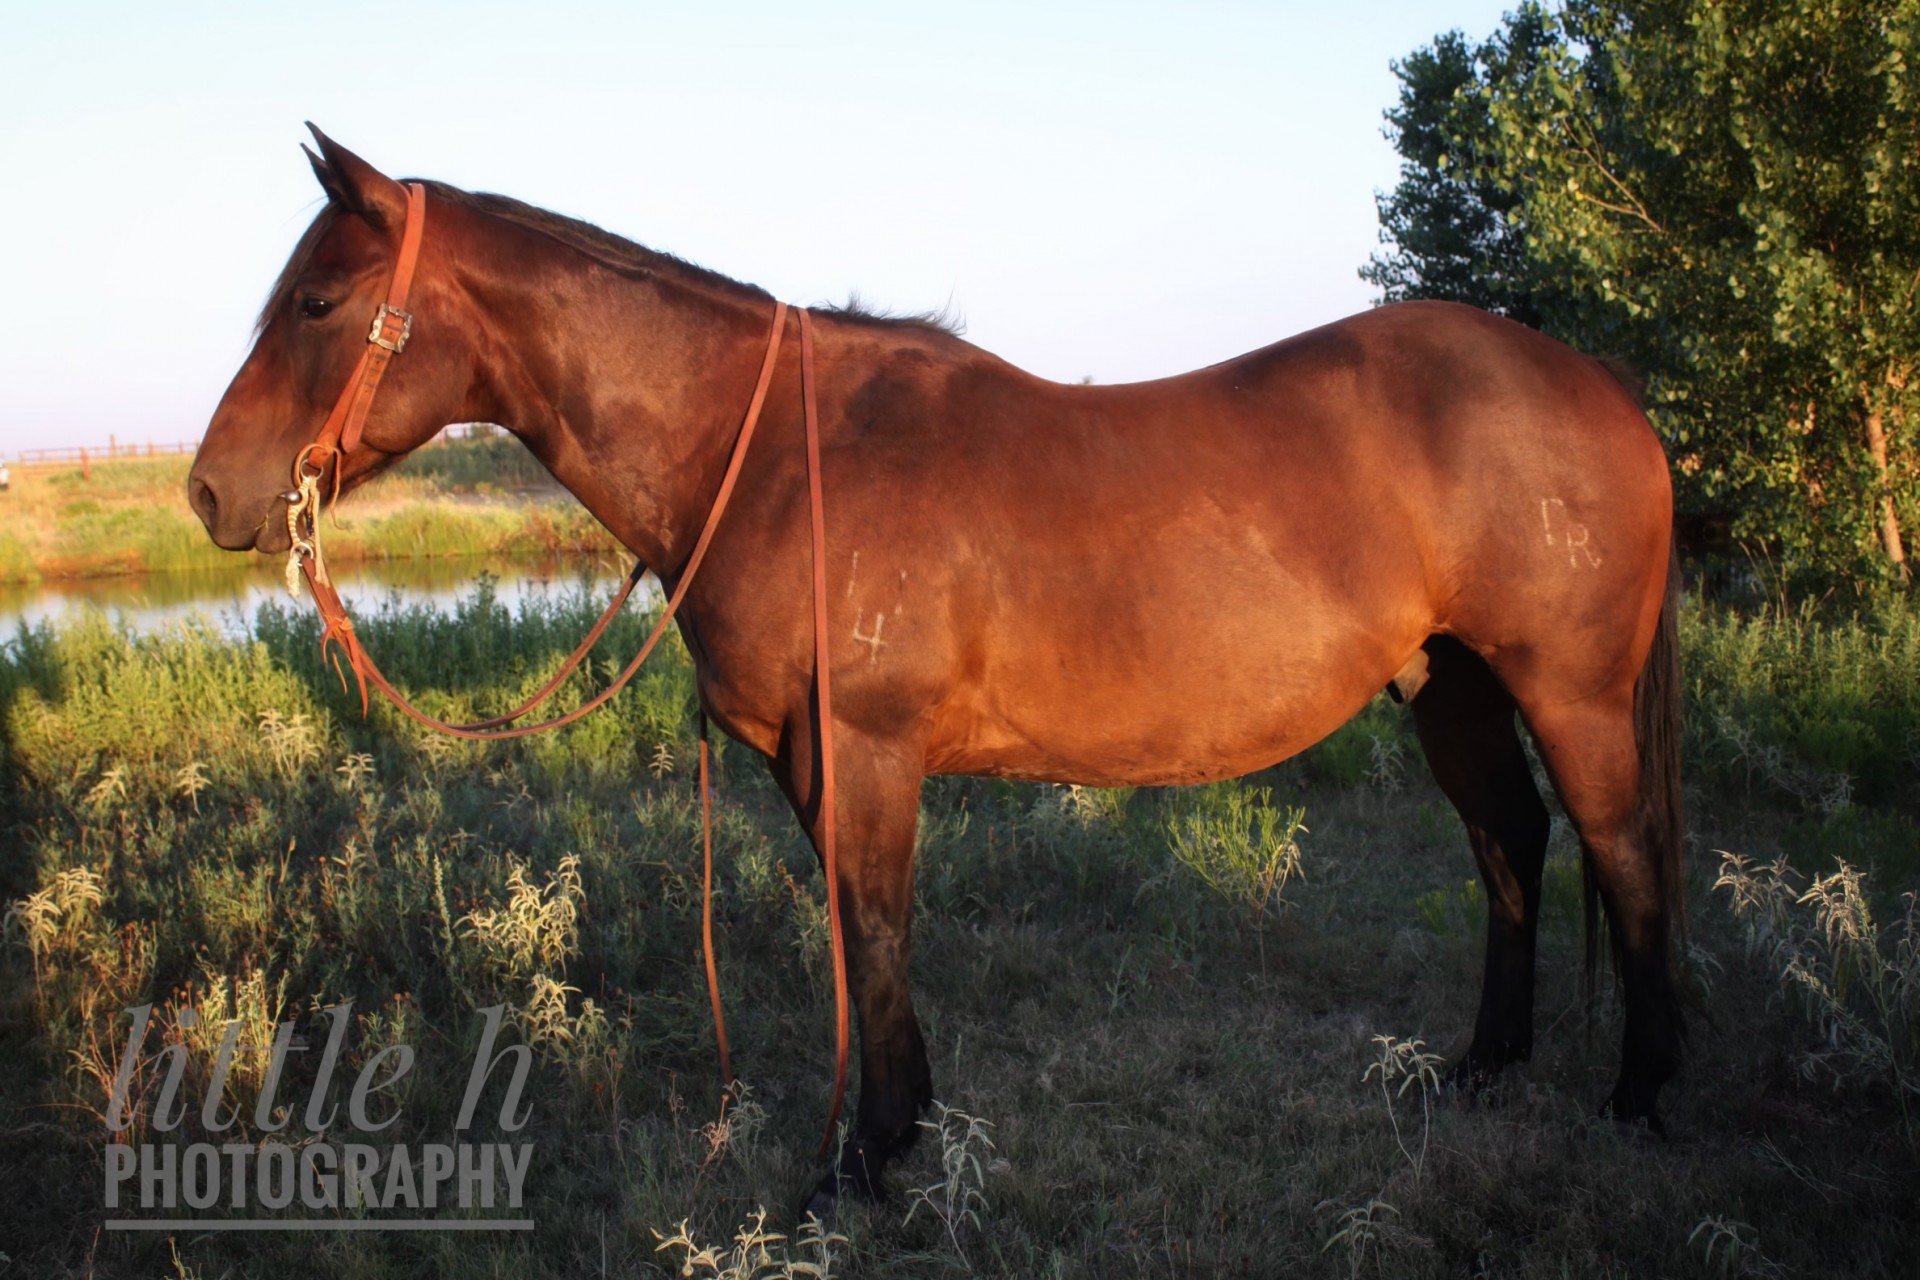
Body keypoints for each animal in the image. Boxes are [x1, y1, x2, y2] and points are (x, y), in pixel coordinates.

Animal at [191, 130, 1681, 1220]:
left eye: (318, 299)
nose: (212, 492)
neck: (764, 454)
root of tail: (1600, 386)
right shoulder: (814, 760)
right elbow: (868, 935)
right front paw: (898, 1135)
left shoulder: (867, 751)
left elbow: (874, 929)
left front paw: (861, 1163)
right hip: (1450, 685)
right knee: (1509, 843)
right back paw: (1482, 1069)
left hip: (1568, 693)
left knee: (1620, 856)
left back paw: (1642, 1100)